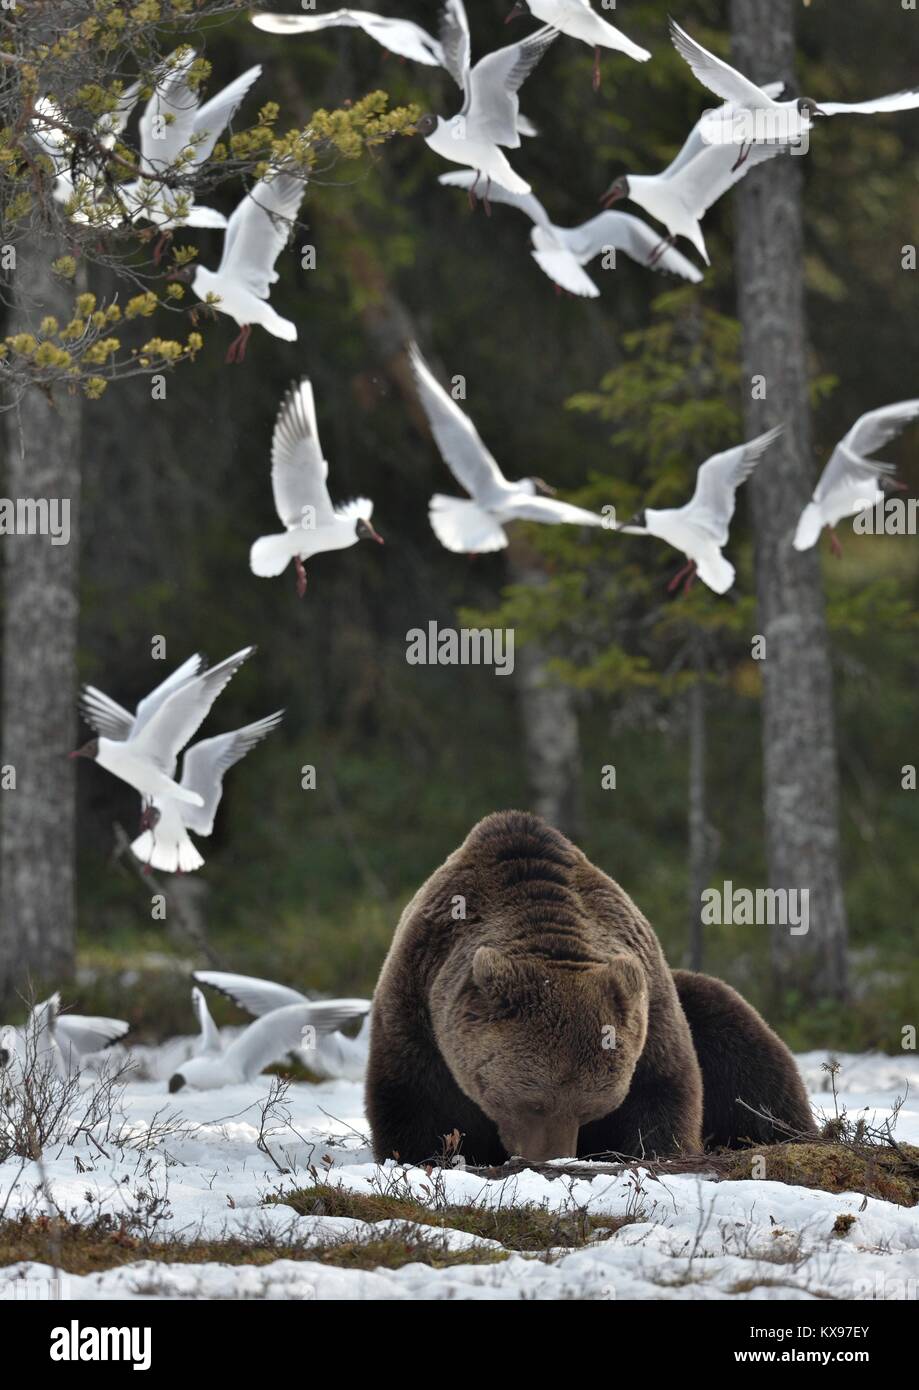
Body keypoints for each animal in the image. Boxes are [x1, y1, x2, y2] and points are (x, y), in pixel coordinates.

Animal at [364, 811, 703, 1167]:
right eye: (532, 1102)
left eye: (590, 1108)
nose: (552, 1159)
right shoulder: (418, 1003)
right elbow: (421, 1102)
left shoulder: (652, 1011)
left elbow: (659, 1093)